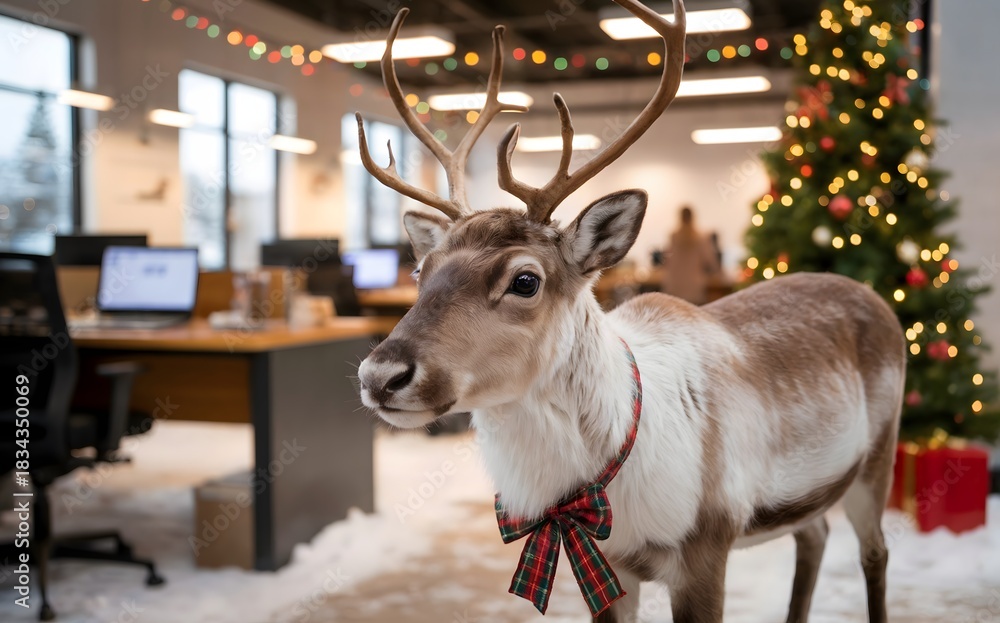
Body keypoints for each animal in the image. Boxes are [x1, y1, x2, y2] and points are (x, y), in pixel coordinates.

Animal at [355, 1, 906, 622]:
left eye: (525, 280)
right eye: (421, 272)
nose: (380, 374)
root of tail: (873, 296)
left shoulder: (707, 546)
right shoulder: (611, 562)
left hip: (877, 457)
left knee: (874, 552)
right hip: (805, 494)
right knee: (814, 535)